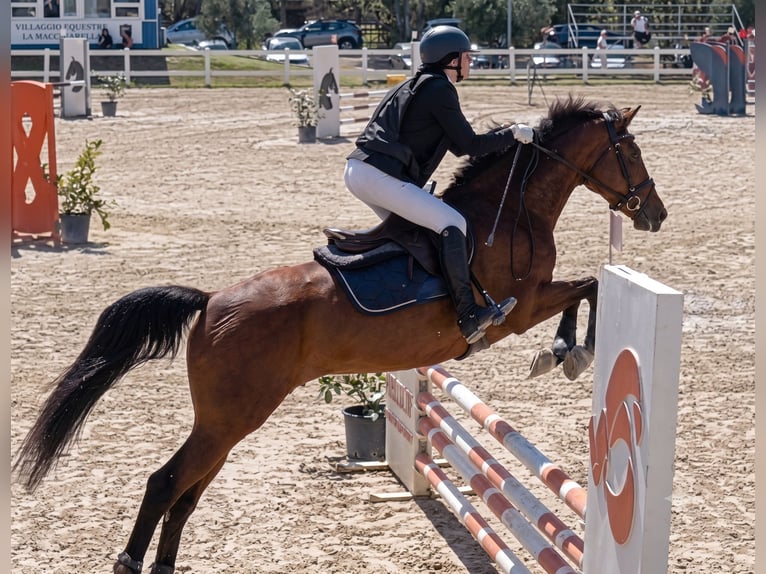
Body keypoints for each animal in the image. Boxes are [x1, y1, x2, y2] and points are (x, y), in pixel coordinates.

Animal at [13, 96, 666, 574]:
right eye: (630, 150)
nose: (655, 214)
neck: (508, 212)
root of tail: (210, 301)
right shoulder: (519, 305)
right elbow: (589, 287)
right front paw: (567, 352)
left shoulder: (529, 300)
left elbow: (587, 286)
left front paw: (565, 351)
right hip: (232, 416)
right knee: (166, 482)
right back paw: (128, 562)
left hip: (226, 422)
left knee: (188, 492)